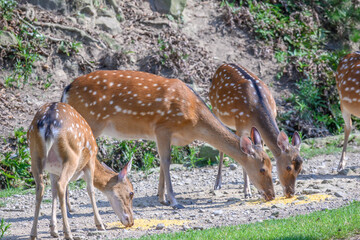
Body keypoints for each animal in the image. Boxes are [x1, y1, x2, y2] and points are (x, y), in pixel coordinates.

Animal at [28, 102, 134, 240]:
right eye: (131, 193)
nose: (131, 221)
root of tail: (48, 124)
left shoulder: (53, 170)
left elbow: (53, 192)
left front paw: (53, 230)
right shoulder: (90, 161)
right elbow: (91, 190)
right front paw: (100, 224)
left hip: (34, 155)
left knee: (40, 187)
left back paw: (33, 233)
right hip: (71, 157)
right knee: (61, 185)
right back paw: (68, 233)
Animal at [62, 69, 276, 208]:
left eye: (272, 165)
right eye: (262, 168)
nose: (271, 195)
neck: (194, 120)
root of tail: (66, 90)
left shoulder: (164, 135)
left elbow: (162, 164)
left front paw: (161, 198)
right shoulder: (162, 127)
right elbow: (166, 161)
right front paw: (174, 201)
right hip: (90, 124)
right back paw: (69, 210)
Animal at [210, 62, 302, 198]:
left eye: (300, 169)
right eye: (288, 167)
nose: (290, 193)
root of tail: (222, 65)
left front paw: (258, 189)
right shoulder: (240, 126)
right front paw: (247, 192)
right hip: (216, 111)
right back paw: (217, 184)